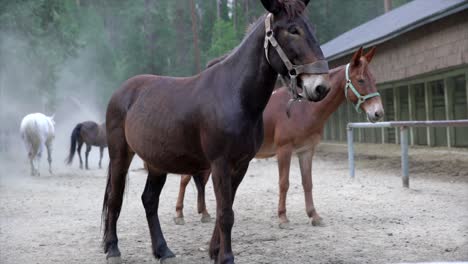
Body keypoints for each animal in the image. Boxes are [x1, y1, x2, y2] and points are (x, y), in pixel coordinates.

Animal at [101, 1, 330, 262]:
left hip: (156, 162)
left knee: (149, 200)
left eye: (311, 27)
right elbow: (225, 214)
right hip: (120, 155)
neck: (235, 96)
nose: (321, 87)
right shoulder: (220, 163)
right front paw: (226, 257)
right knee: (115, 198)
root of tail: (122, 91)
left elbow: (226, 208)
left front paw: (214, 251)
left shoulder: (240, 165)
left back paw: (162, 250)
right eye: (293, 30)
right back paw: (113, 248)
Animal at [174, 47, 382, 229]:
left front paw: (314, 216)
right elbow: (284, 183)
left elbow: (308, 183)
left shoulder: (306, 151)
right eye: (361, 80)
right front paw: (283, 218)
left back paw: (205, 214)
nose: (378, 113)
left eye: (374, 79)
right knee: (185, 179)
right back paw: (179, 214)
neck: (302, 109)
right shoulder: (284, 150)